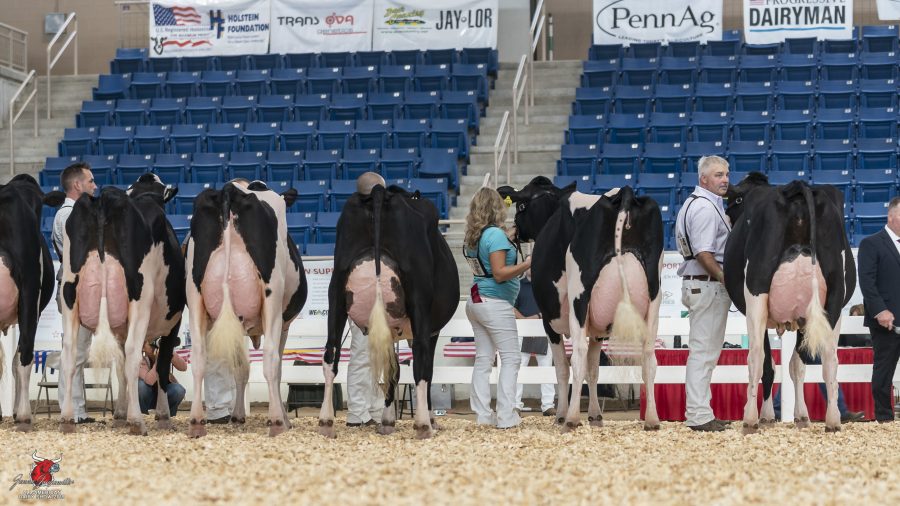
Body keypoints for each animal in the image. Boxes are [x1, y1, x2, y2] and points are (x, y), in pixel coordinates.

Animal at [58, 173, 184, 435]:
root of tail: (104, 199)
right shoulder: (173, 322)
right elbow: (160, 367)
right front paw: (162, 415)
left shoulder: (119, 328)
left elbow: (120, 368)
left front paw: (119, 414)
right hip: (140, 299)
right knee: (134, 353)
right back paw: (137, 422)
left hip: (69, 297)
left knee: (70, 356)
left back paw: (66, 419)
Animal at [184, 180, 307, 437]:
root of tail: (231, 189)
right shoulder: (284, 325)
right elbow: (277, 368)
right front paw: (283, 418)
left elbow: (241, 367)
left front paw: (238, 415)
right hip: (272, 299)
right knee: (270, 360)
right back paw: (277, 422)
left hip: (195, 297)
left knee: (198, 359)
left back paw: (196, 422)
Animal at [317, 183, 459, 439]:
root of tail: (380, 191)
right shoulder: (432, 330)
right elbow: (424, 370)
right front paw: (428, 418)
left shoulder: (391, 329)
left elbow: (393, 369)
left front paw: (387, 420)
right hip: (419, 297)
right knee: (421, 360)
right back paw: (424, 425)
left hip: (336, 290)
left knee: (331, 352)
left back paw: (325, 422)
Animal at [499, 176, 665, 432]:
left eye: (521, 207)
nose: (516, 230)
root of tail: (625, 193)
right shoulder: (598, 329)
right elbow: (594, 370)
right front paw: (596, 416)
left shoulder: (550, 321)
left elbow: (562, 369)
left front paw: (561, 415)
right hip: (654, 296)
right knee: (649, 356)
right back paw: (652, 420)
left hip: (579, 295)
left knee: (577, 354)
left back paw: (572, 419)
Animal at [723, 172, 856, 433]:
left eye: (734, 202)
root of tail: (796, 188)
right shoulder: (806, 319)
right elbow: (797, 364)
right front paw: (801, 415)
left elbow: (771, 365)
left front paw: (766, 416)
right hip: (834, 296)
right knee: (830, 357)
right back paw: (833, 420)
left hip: (756, 291)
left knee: (756, 356)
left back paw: (749, 418)